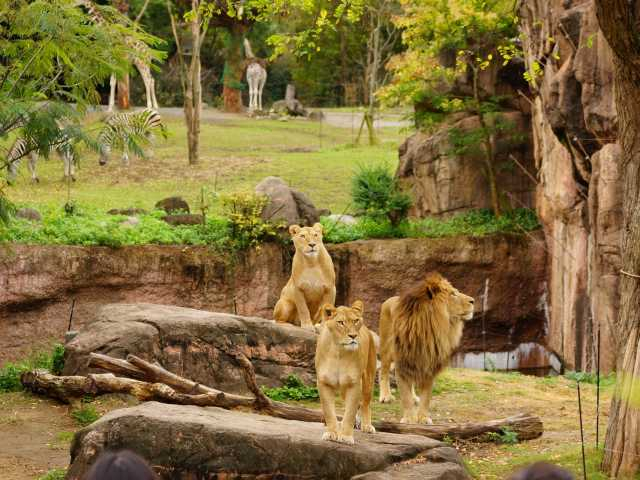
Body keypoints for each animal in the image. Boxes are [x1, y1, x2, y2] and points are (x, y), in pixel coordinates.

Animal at [314, 302, 376, 444]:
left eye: (356, 321)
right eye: (341, 322)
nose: (353, 336)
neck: (339, 352)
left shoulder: (354, 384)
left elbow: (350, 412)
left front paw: (347, 437)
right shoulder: (323, 382)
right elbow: (329, 412)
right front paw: (331, 433)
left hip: (368, 379)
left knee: (365, 403)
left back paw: (366, 425)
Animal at [378, 272, 472, 422]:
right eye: (453, 294)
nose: (473, 301)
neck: (430, 329)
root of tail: (390, 299)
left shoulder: (429, 365)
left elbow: (426, 397)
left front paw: (423, 417)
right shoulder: (402, 363)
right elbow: (405, 396)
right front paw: (409, 419)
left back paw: (414, 397)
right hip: (386, 348)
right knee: (384, 370)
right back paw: (385, 396)